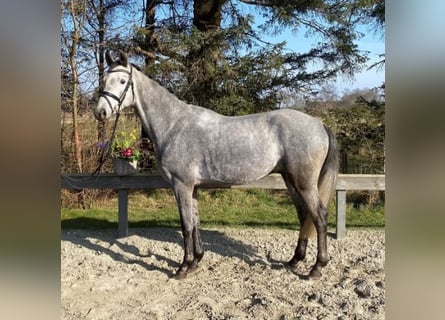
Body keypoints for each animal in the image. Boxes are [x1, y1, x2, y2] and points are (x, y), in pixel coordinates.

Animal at [93, 51, 336, 278]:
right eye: (104, 80)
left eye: (122, 81)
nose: (100, 112)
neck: (173, 125)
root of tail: (320, 124)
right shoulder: (192, 187)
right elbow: (196, 223)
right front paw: (196, 261)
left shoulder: (181, 186)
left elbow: (186, 225)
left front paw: (183, 267)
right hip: (291, 180)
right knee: (304, 215)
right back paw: (295, 260)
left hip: (304, 183)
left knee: (319, 217)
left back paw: (317, 267)